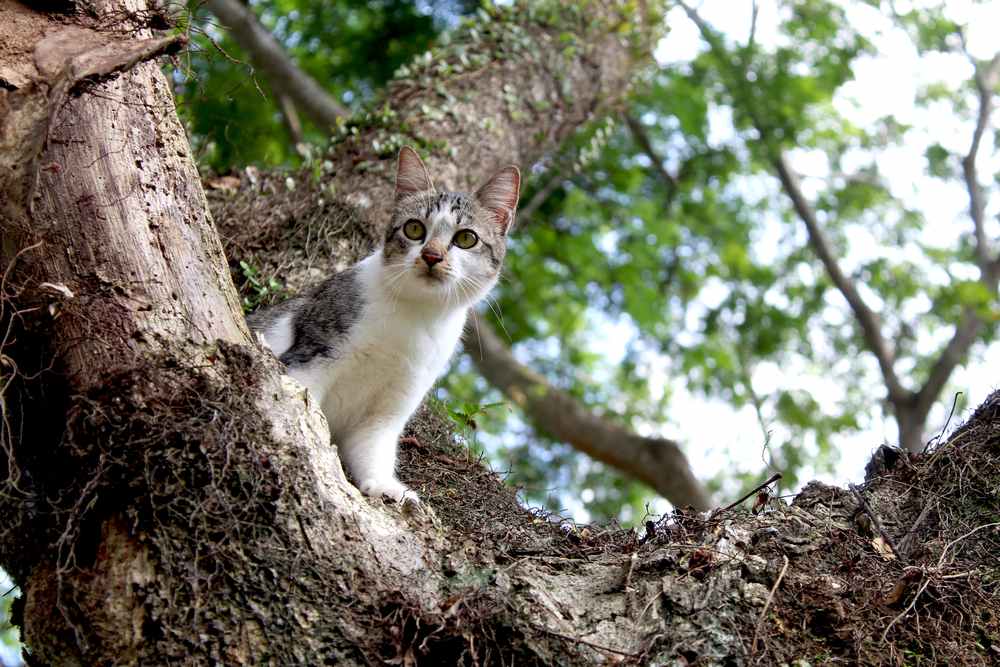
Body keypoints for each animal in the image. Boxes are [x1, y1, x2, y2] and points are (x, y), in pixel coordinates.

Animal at [246, 145, 520, 500]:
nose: (431, 256)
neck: (415, 318)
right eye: (414, 229)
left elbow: (373, 446)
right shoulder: (315, 349)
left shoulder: (394, 403)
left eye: (466, 238)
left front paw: (386, 487)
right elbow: (303, 402)